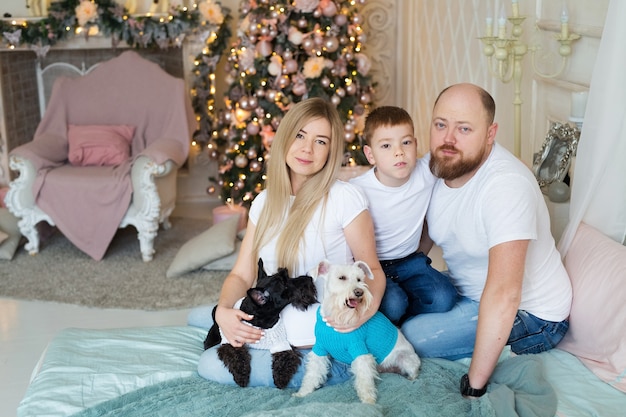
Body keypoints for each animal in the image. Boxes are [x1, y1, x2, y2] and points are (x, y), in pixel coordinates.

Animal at [204, 258, 314, 388]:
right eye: (286, 285)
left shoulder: (281, 344)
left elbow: (285, 357)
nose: (310, 278)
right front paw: (241, 376)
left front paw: (280, 379)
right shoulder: (231, 342)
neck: (261, 322)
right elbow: (236, 355)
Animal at [292, 260, 420, 404]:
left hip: (407, 359)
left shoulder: (359, 350)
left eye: (359, 279)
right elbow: (312, 373)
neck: (338, 316)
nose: (359, 292)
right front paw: (303, 393)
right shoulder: (320, 349)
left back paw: (412, 379)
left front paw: (368, 401)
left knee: (414, 371)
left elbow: (364, 379)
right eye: (342, 277)